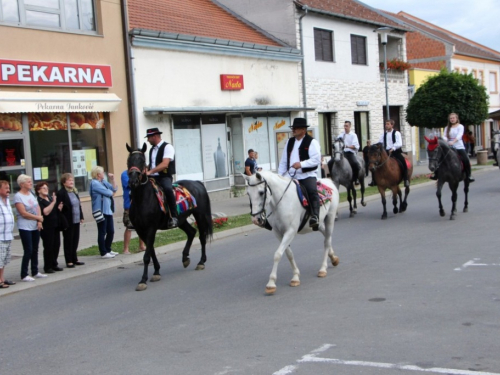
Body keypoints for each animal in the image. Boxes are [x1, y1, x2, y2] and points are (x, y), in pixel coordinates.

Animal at [127, 144, 213, 290]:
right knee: (191, 232)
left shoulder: (151, 228)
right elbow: (151, 251)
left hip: (200, 215)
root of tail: (197, 183)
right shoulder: (140, 230)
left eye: (142, 161)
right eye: (129, 160)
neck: (142, 199)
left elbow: (146, 256)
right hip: (181, 220)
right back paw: (185, 258)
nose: (133, 181)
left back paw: (201, 262)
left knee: (202, 237)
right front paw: (156, 272)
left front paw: (143, 280)